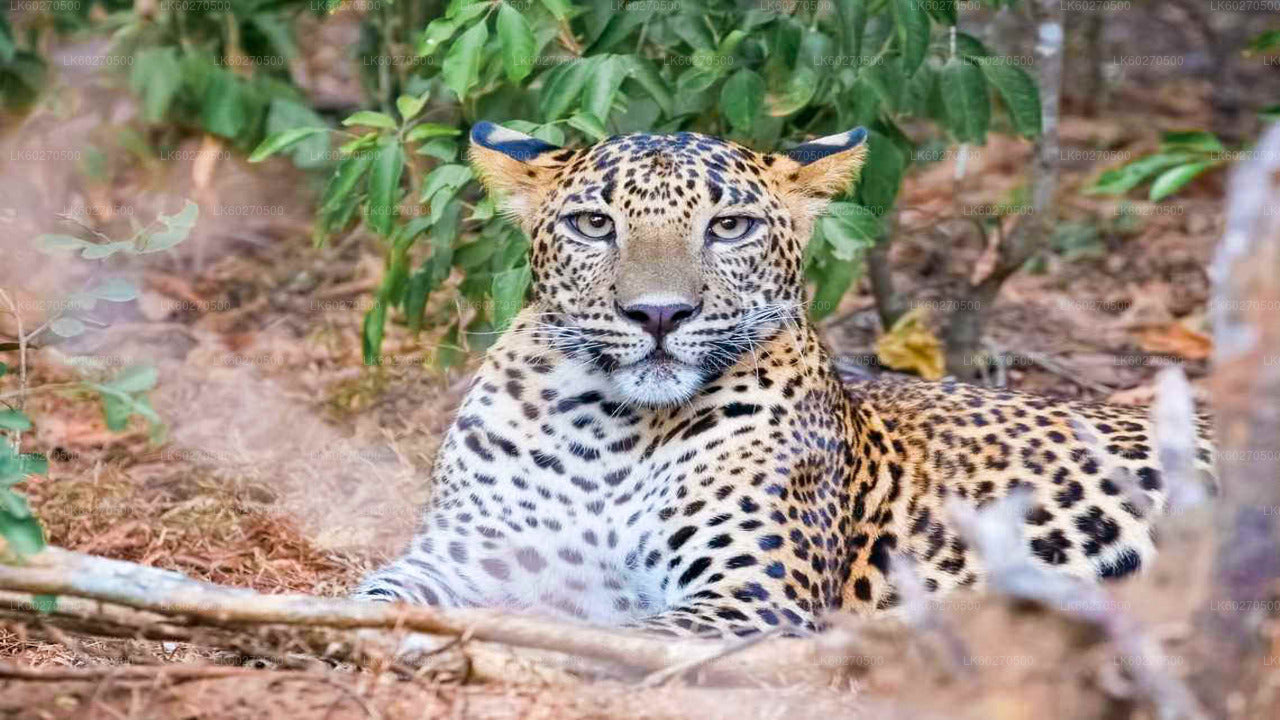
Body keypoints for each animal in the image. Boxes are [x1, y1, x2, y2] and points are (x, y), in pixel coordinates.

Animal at [353, 120, 1218, 635]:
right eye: (594, 224)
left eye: (728, 226)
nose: (658, 314)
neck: (607, 428)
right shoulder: (461, 557)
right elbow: (367, 595)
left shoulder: (750, 599)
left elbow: (631, 639)